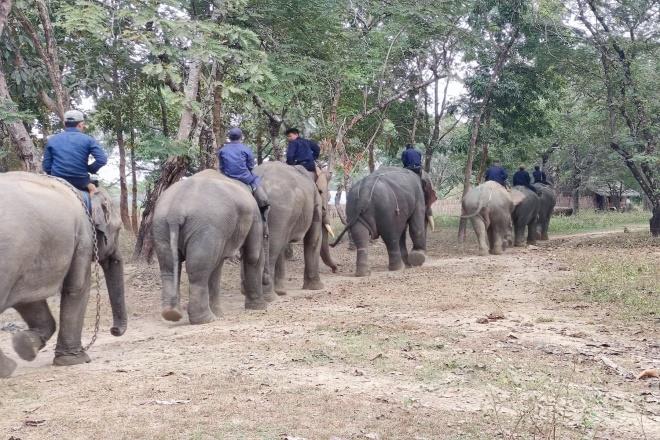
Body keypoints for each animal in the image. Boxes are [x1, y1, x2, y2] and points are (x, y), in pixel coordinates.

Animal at [0, 172, 127, 378]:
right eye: (119, 229)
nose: (114, 330)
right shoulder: (83, 240)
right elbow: (78, 287)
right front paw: (75, 360)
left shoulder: (28, 262)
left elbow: (28, 300)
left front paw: (25, 346)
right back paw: (8, 368)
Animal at [153, 169, 267, 325]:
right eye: (266, 208)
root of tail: (175, 211)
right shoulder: (254, 215)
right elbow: (253, 256)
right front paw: (259, 307)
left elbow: (217, 267)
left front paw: (220, 314)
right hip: (206, 227)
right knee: (199, 271)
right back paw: (206, 319)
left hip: (161, 225)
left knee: (169, 268)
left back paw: (172, 314)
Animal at [253, 162, 338, 298]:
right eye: (328, 196)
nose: (336, 269)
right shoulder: (314, 204)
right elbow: (314, 239)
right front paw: (317, 287)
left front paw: (281, 291)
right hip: (280, 210)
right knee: (273, 247)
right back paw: (269, 297)